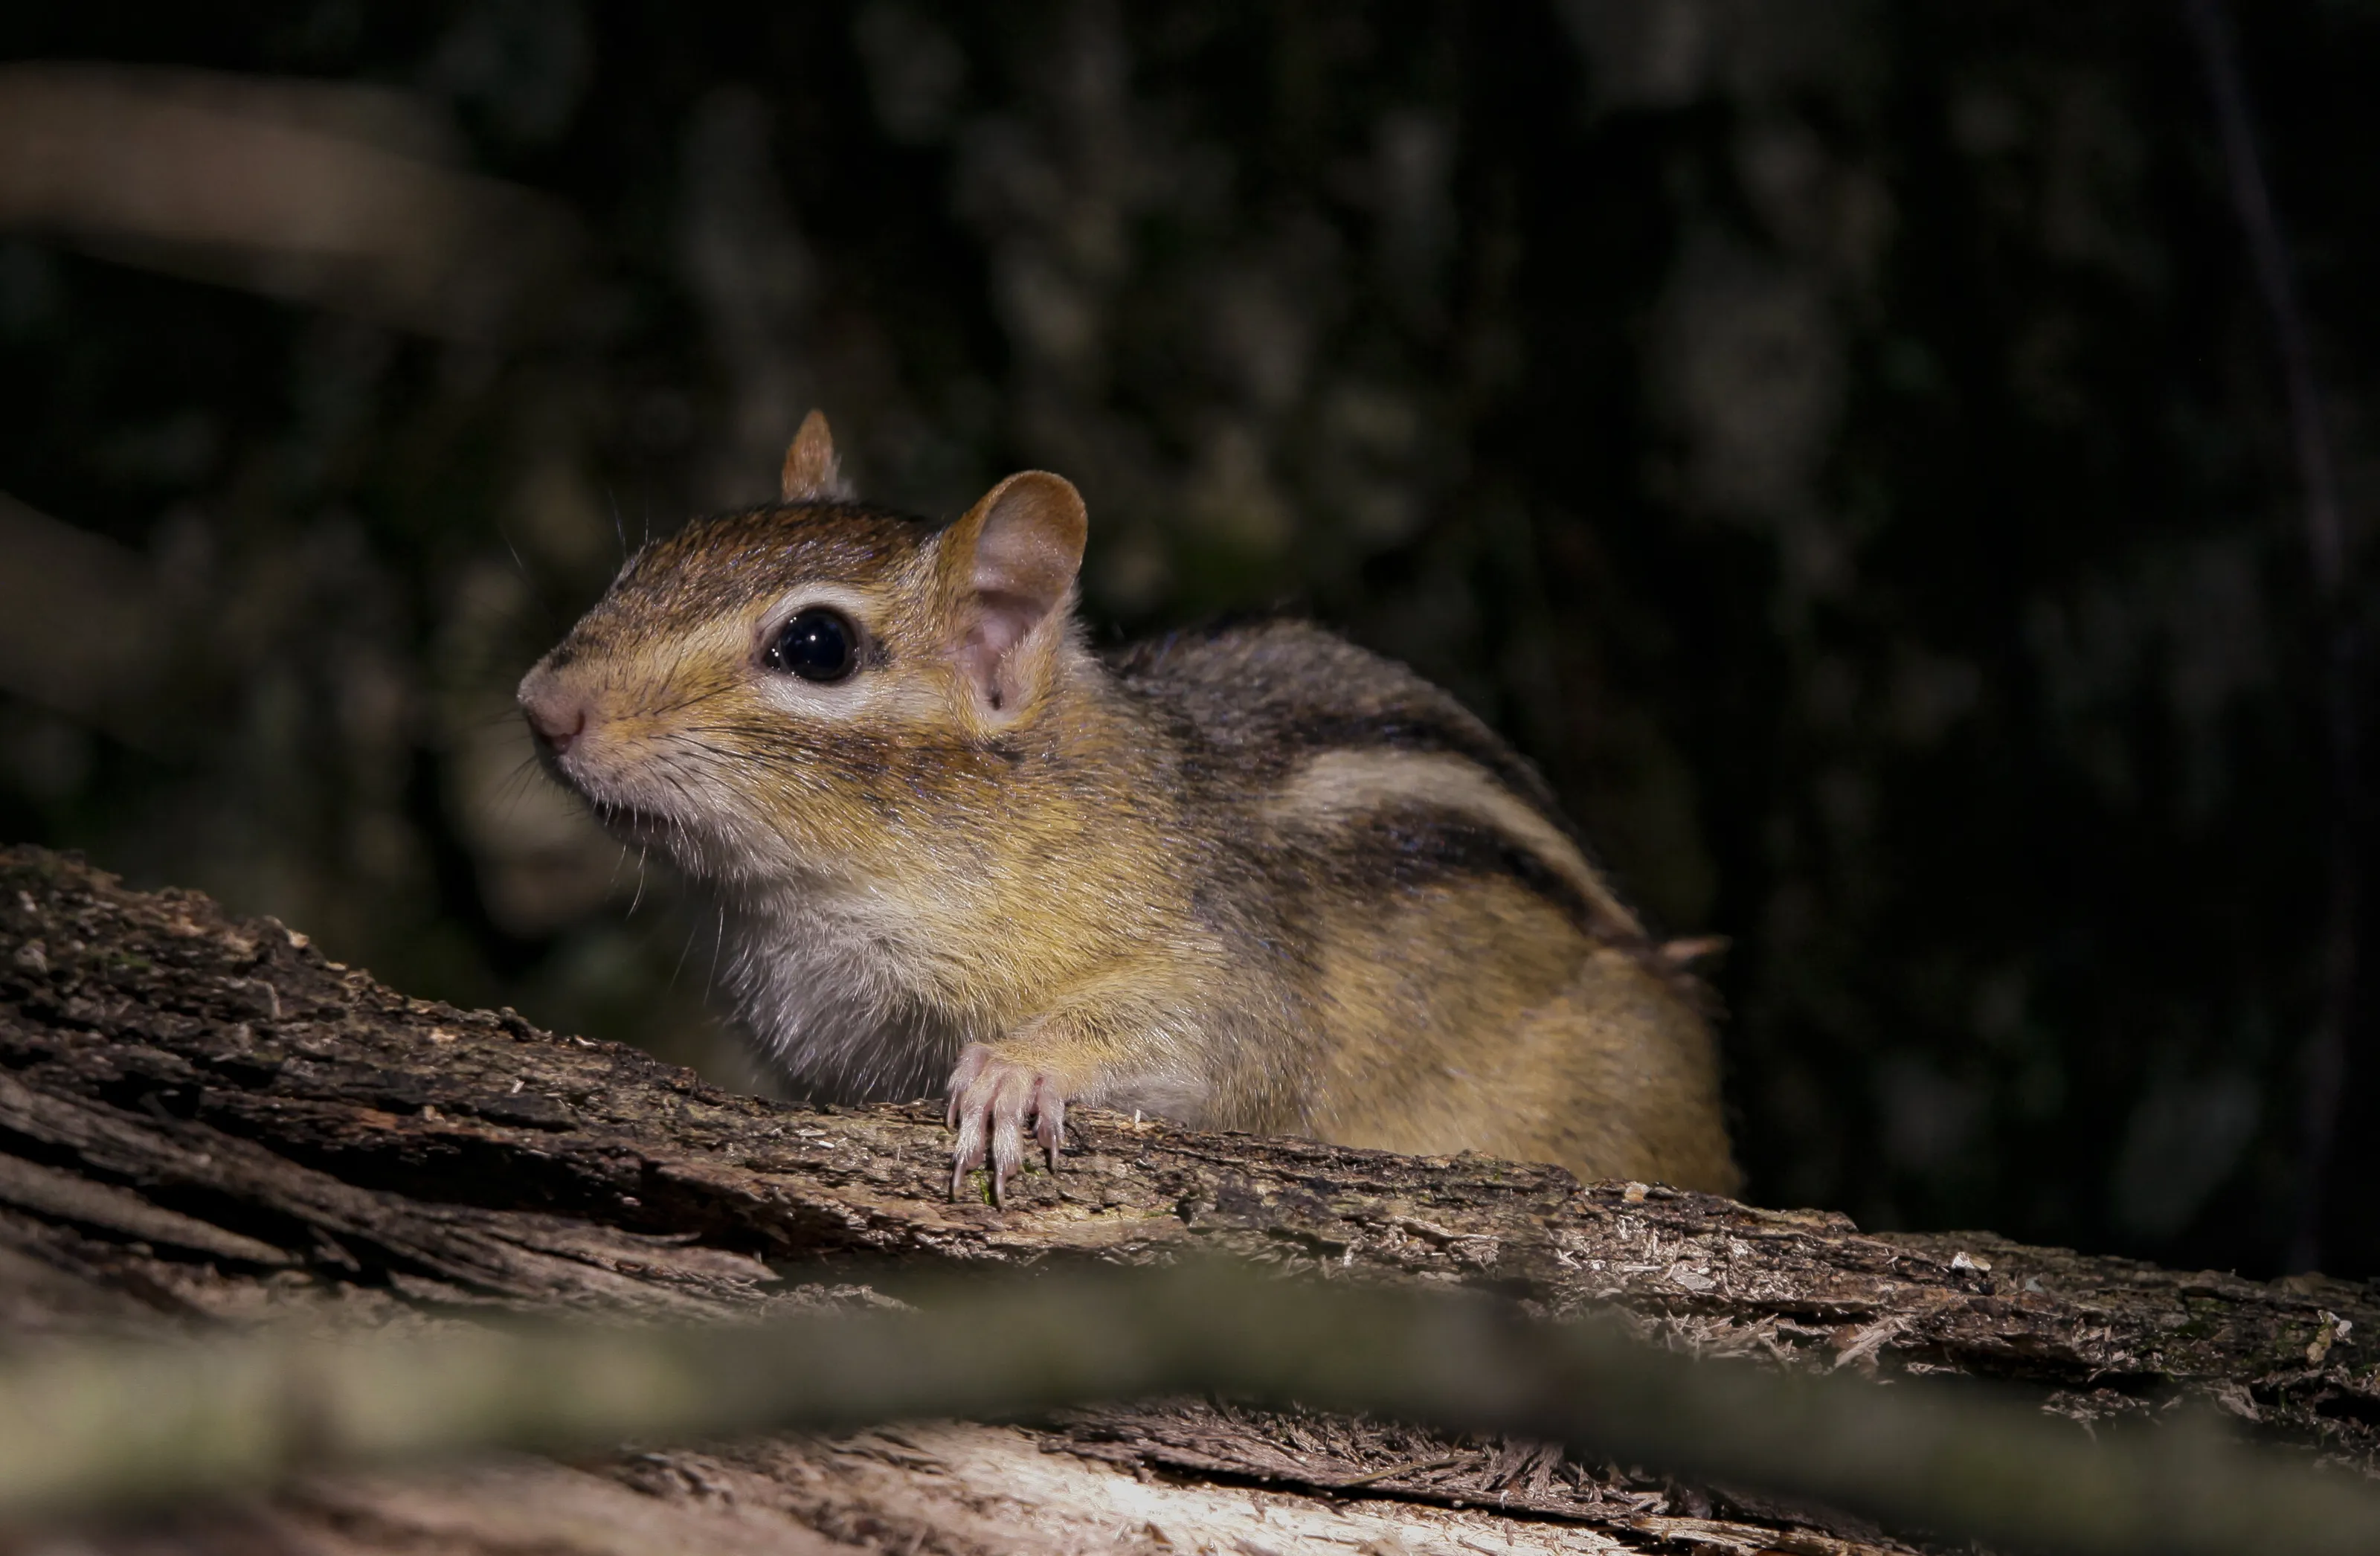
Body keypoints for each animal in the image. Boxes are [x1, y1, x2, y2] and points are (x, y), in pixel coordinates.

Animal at [518, 412, 1738, 1202]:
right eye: (645, 564)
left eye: (816, 646)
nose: (542, 706)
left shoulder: (1222, 955)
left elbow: (1228, 1043)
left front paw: (1017, 1071)